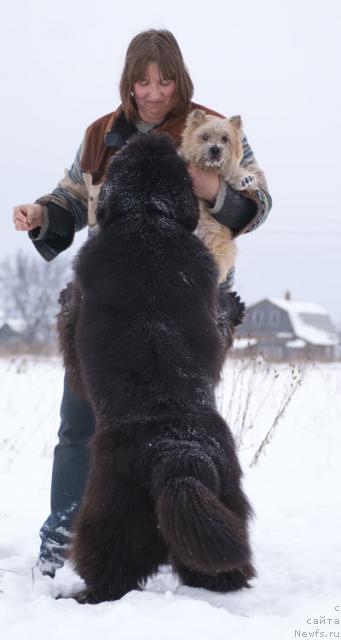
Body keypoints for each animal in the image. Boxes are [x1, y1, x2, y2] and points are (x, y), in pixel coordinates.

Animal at [57, 132, 252, 604]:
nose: (153, 134)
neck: (148, 215)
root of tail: (176, 457)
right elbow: (219, 330)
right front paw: (233, 307)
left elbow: (69, 329)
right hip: (224, 495)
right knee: (220, 559)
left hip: (108, 504)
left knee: (109, 567)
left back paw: (81, 594)